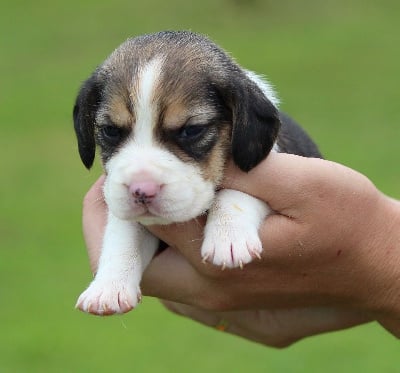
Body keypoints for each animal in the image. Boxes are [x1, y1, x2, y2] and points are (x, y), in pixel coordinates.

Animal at [72, 31, 322, 314]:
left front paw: (228, 237)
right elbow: (123, 235)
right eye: (111, 131)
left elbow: (236, 193)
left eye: (191, 130)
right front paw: (108, 287)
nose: (142, 190)